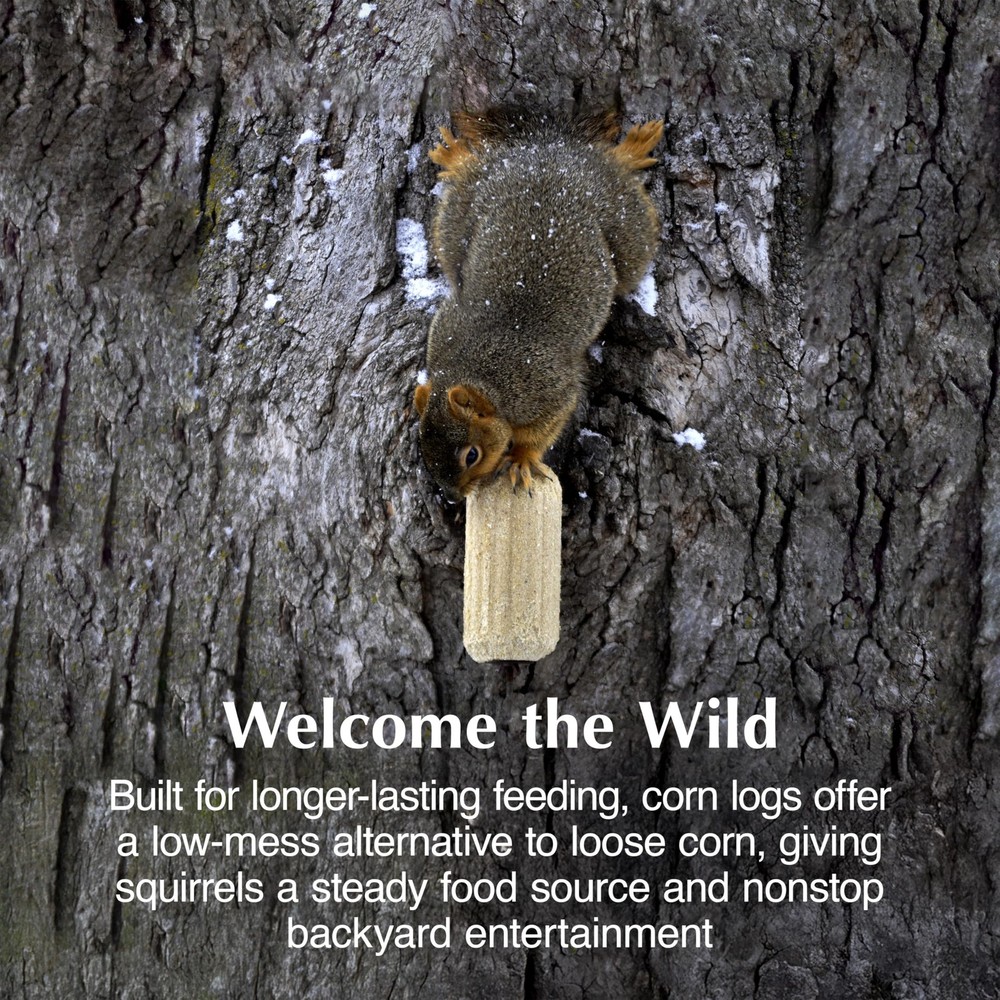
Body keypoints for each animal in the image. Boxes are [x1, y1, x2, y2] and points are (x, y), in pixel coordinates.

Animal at [412, 106, 663, 500]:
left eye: (471, 455)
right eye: (423, 446)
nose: (453, 496)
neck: (475, 368)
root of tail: (546, 156)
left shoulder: (546, 388)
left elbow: (543, 428)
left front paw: (522, 459)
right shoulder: (444, 327)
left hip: (627, 226)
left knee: (623, 187)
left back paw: (631, 151)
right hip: (459, 215)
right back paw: (457, 157)